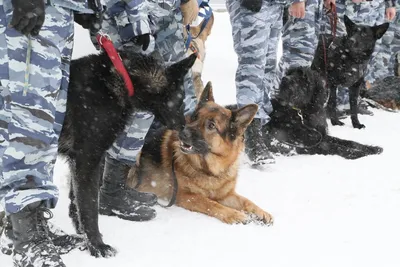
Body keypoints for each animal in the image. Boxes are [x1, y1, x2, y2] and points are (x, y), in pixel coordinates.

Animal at [57, 51, 197, 258]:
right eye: (180, 101)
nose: (183, 129)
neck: (123, 80)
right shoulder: (87, 160)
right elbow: (89, 207)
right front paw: (97, 245)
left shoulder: (80, 162)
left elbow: (77, 202)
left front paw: (82, 234)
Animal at [126, 83, 274, 226]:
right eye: (194, 117)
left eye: (211, 125)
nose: (183, 133)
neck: (208, 170)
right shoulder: (184, 195)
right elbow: (210, 203)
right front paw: (234, 214)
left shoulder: (225, 195)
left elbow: (246, 201)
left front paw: (261, 212)